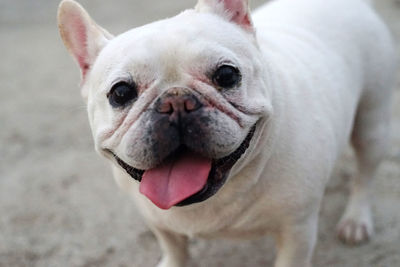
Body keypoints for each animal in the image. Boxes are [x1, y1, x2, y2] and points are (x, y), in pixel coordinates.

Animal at [57, 0, 396, 266]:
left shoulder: (296, 231)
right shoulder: (158, 221)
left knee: (365, 175)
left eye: (226, 74)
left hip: (372, 123)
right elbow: (174, 248)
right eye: (121, 93)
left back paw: (355, 220)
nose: (175, 101)